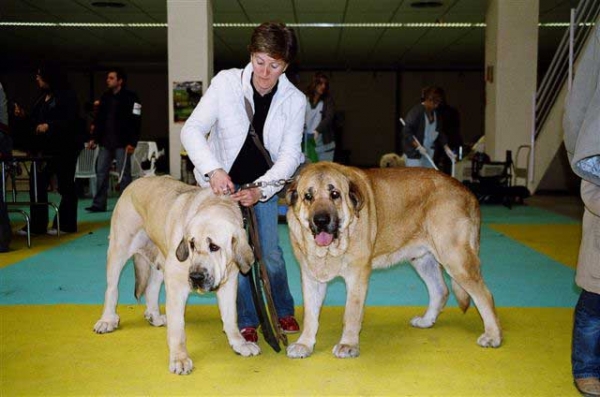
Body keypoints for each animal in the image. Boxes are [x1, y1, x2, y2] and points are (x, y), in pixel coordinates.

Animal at [94, 175, 260, 372]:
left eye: (214, 246)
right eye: (192, 244)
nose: (196, 277)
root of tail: (137, 181)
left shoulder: (229, 283)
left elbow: (230, 317)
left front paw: (239, 343)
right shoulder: (176, 284)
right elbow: (177, 328)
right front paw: (179, 359)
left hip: (161, 259)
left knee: (151, 288)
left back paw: (154, 315)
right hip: (119, 249)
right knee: (111, 289)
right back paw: (107, 320)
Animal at [284, 162, 500, 358]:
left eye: (335, 194)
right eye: (308, 197)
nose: (321, 220)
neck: (330, 250)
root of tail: (467, 191)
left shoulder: (357, 276)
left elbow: (351, 313)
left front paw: (348, 345)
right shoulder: (311, 278)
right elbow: (311, 315)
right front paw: (304, 344)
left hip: (456, 258)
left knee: (485, 295)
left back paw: (492, 336)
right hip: (423, 259)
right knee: (440, 290)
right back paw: (426, 321)